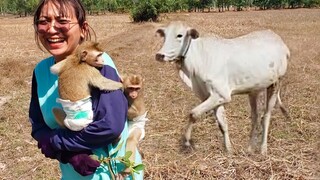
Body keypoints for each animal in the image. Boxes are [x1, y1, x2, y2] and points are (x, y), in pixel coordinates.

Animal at [155, 20, 290, 154]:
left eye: (180, 35)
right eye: (164, 35)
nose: (159, 55)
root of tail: (280, 42)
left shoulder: (222, 94)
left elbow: (193, 113)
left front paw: (187, 141)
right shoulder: (214, 97)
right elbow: (222, 124)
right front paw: (229, 150)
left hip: (275, 84)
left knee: (266, 117)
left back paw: (263, 149)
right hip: (253, 90)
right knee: (255, 117)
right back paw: (250, 148)